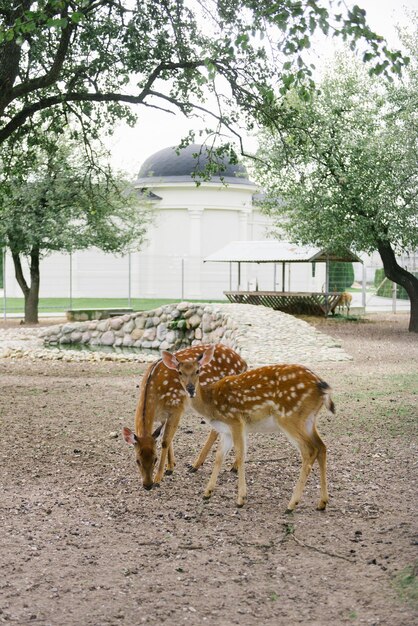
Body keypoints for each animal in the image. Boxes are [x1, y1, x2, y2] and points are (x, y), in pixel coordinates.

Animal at [121, 344, 247, 490]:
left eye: (155, 459)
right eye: (137, 460)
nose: (148, 485)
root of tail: (244, 362)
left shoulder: (177, 407)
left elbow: (165, 441)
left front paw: (159, 478)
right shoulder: (164, 415)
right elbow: (168, 439)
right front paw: (170, 467)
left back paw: (229, 466)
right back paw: (197, 465)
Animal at [162, 344, 334, 510]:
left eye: (198, 371)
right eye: (179, 372)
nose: (190, 389)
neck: (211, 404)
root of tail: (322, 386)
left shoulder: (236, 421)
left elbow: (240, 456)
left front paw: (240, 499)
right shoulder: (226, 431)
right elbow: (219, 457)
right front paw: (207, 493)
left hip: (290, 417)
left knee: (309, 450)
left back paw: (291, 504)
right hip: (309, 419)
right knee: (322, 447)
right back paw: (322, 503)